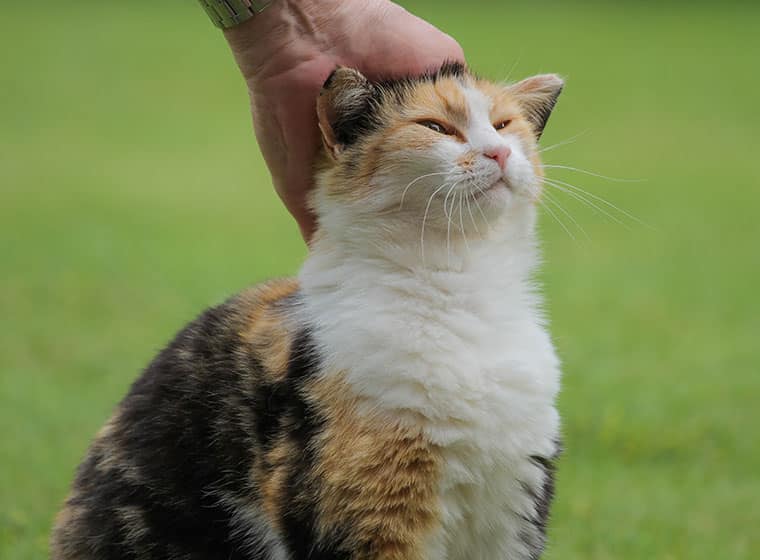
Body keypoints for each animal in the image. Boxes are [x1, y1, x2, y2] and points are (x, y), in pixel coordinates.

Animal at [52, 63, 564, 556]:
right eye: (436, 126)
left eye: (504, 124)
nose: (498, 152)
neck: (461, 283)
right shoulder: (363, 509)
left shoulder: (513, 503)